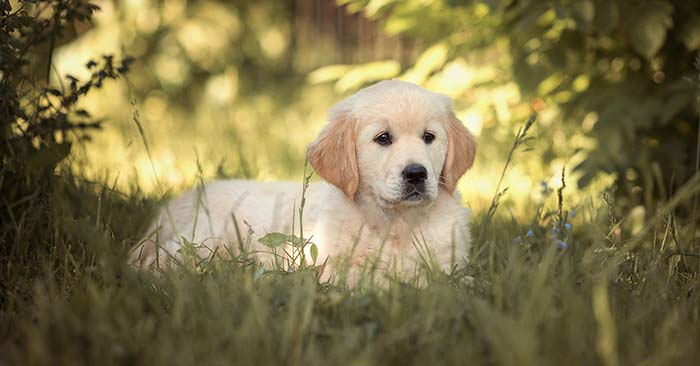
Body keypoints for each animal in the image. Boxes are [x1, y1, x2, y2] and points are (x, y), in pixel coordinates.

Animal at [131, 79, 476, 280]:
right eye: (383, 139)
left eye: (429, 137)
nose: (416, 173)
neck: (397, 223)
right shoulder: (328, 266)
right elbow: (368, 277)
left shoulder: (452, 262)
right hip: (205, 237)